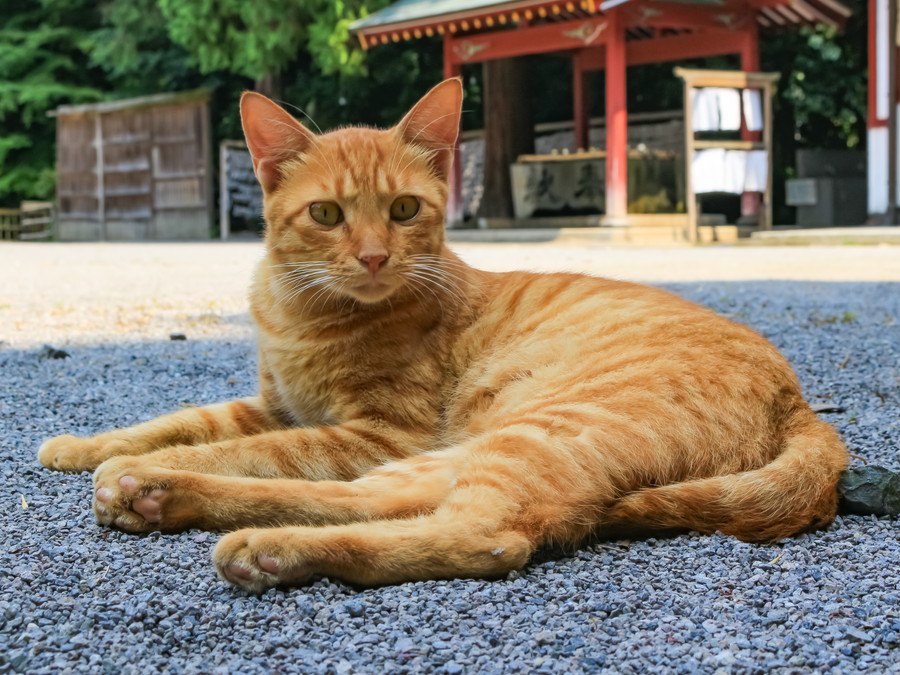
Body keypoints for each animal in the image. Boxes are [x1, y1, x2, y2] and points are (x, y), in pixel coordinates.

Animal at [38, 79, 848, 592]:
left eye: (403, 209)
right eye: (326, 214)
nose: (373, 256)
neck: (302, 312)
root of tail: (801, 404)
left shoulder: (372, 430)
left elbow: (243, 450)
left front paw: (138, 462)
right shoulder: (275, 405)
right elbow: (176, 420)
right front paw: (83, 447)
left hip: (534, 431)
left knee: (479, 535)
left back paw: (252, 539)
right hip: (468, 447)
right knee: (371, 500)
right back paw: (160, 495)